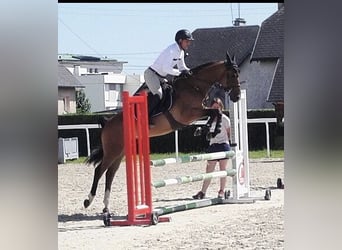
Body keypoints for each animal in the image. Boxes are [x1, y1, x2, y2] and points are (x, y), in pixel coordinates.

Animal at [84, 51, 242, 213]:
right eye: (232, 74)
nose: (237, 96)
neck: (194, 86)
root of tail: (107, 123)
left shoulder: (198, 111)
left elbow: (215, 112)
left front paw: (207, 130)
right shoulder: (188, 114)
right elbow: (215, 111)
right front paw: (212, 130)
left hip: (120, 152)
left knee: (110, 173)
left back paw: (106, 207)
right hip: (112, 150)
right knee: (99, 170)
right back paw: (88, 200)